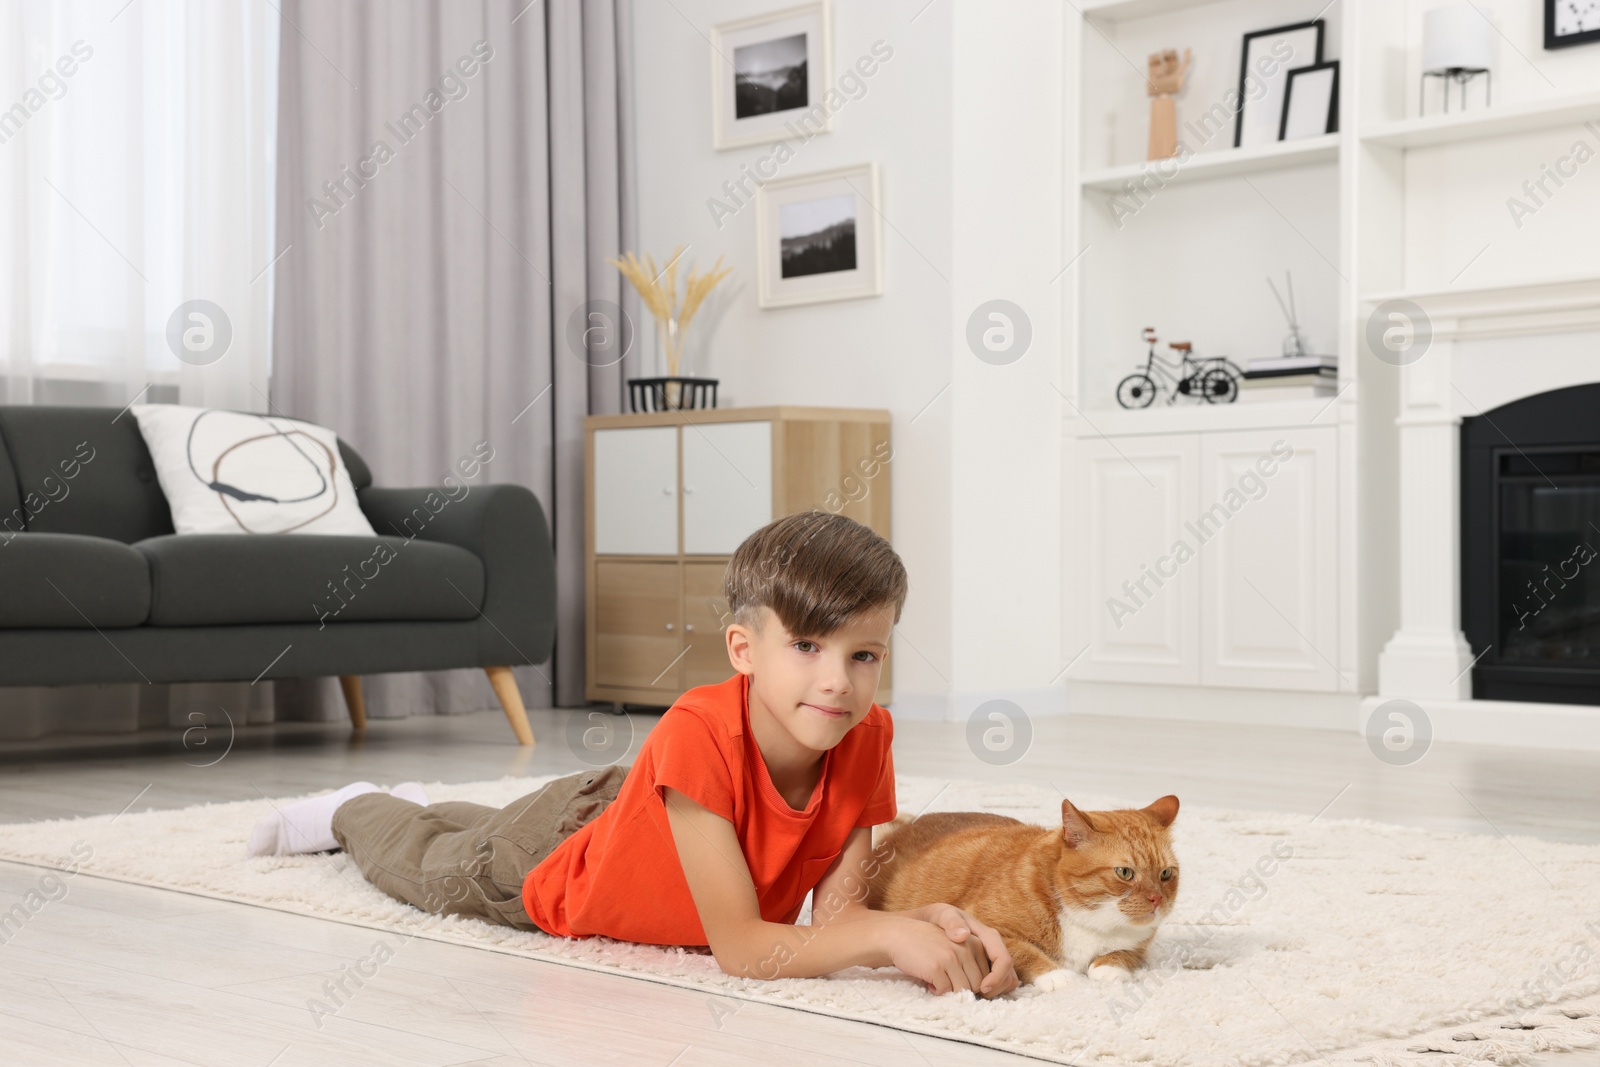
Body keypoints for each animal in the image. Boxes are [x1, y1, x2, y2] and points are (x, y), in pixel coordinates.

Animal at [870, 793, 1184, 991]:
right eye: (1125, 872)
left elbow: (1124, 954)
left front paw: (1109, 968)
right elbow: (1023, 951)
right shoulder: (979, 924)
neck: (1093, 923)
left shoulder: (1139, 945)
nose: (1157, 899)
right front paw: (1057, 976)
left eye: (1165, 874)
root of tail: (902, 829)